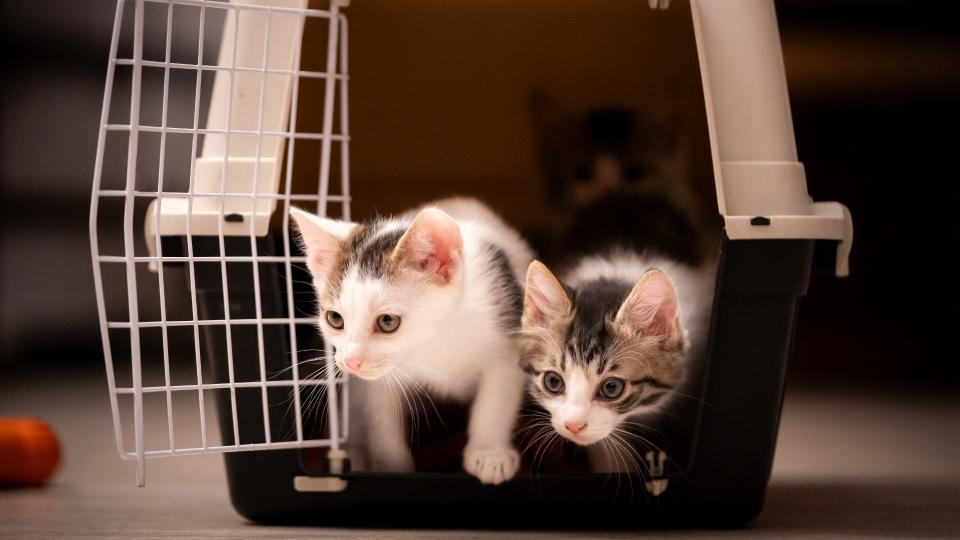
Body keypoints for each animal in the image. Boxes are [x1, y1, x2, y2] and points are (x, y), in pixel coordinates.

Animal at [290, 198, 532, 486]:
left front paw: (490, 455)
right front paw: (389, 466)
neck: (434, 339)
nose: (351, 361)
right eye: (335, 319)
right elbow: (381, 420)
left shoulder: (507, 340)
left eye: (387, 321)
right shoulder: (376, 382)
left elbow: (496, 399)